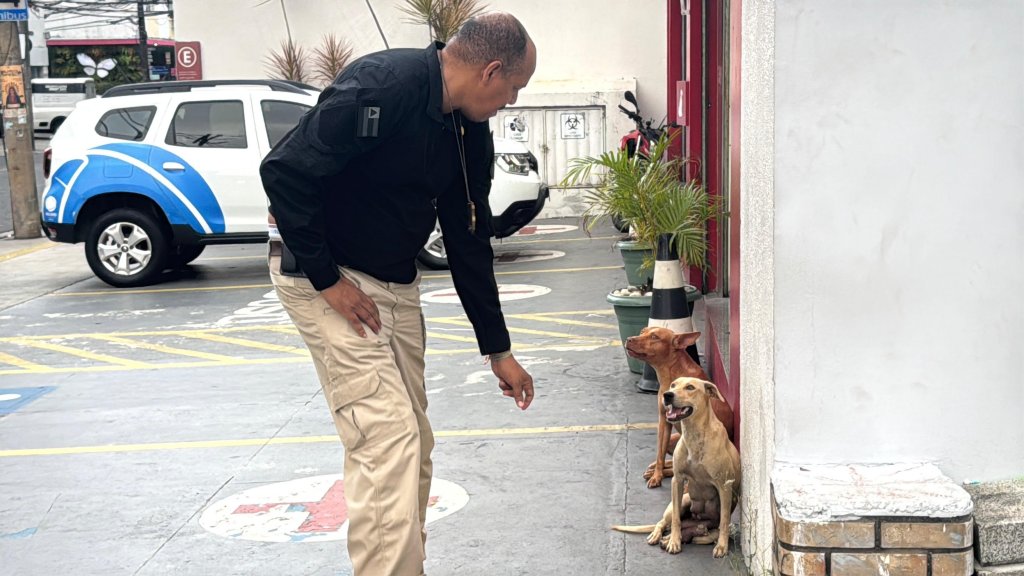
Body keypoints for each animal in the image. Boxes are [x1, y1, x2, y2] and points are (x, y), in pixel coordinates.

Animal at [612, 377, 741, 558]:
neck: (694, 435)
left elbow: (724, 521)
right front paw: (674, 541)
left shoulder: (724, 486)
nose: (667, 395)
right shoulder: (677, 480)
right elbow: (675, 520)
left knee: (701, 530)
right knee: (664, 522)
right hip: (683, 500)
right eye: (673, 385)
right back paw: (661, 537)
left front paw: (722, 546)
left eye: (690, 387)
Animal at [625, 327, 734, 488]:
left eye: (654, 337)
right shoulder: (664, 421)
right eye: (642, 332)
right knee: (671, 460)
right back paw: (655, 469)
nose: (629, 339)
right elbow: (660, 453)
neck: (670, 373)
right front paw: (657, 475)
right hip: (674, 439)